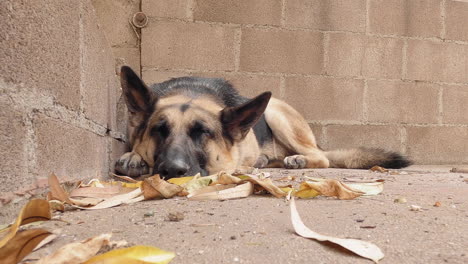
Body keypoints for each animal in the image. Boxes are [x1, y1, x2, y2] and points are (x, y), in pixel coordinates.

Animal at [115, 65, 412, 179]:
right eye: (159, 130)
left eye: (203, 132)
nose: (172, 170)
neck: (193, 91)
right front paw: (133, 156)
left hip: (275, 113)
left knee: (322, 157)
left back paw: (298, 159)